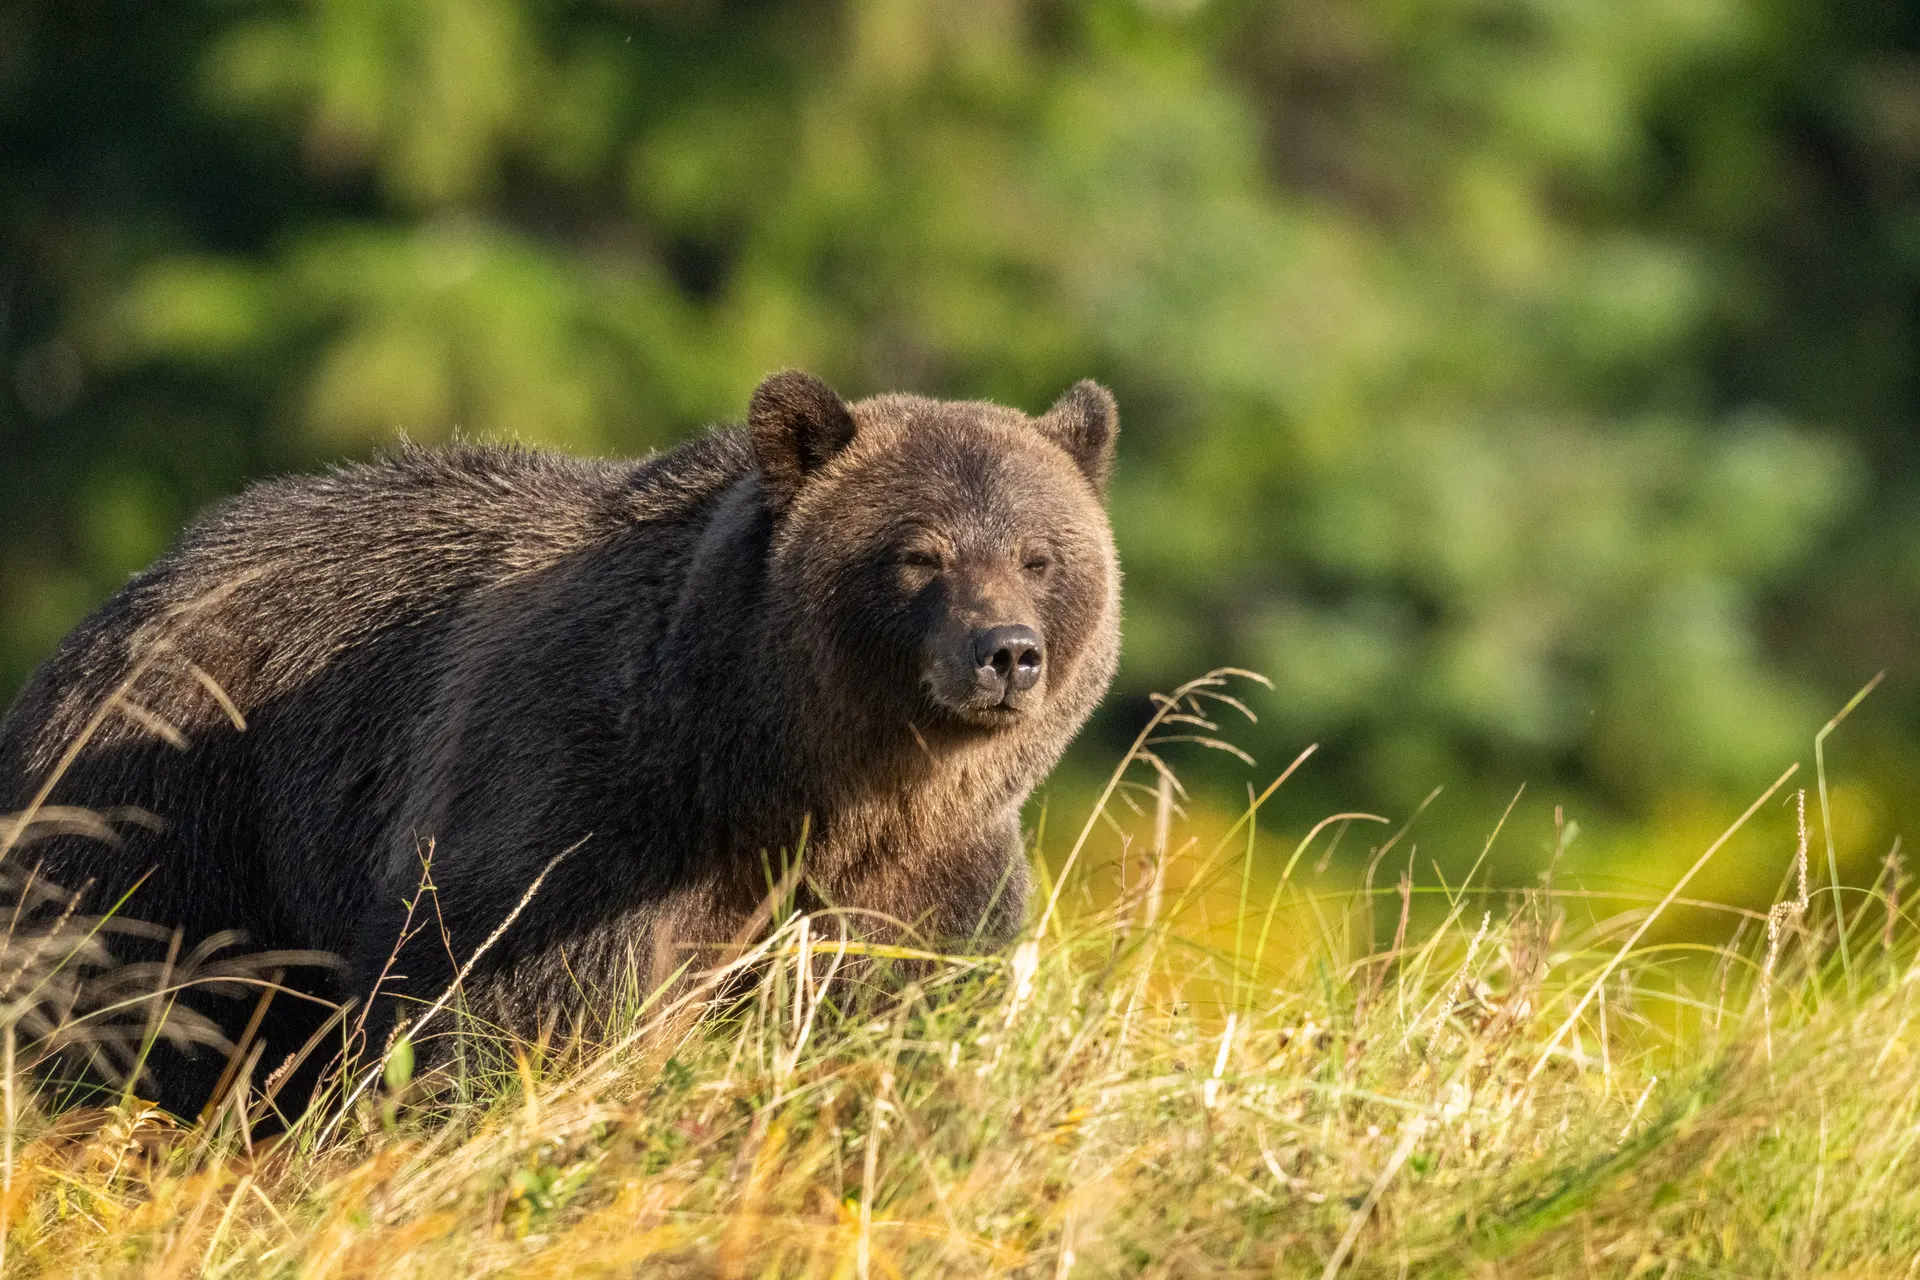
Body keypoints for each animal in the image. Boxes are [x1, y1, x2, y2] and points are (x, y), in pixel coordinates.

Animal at [0, 371, 1122, 1118]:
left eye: (1039, 554)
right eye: (919, 554)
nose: (1005, 652)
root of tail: (113, 607)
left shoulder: (918, 864)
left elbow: (906, 989)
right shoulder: (579, 797)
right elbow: (507, 1002)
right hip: (173, 798)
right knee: (141, 997)